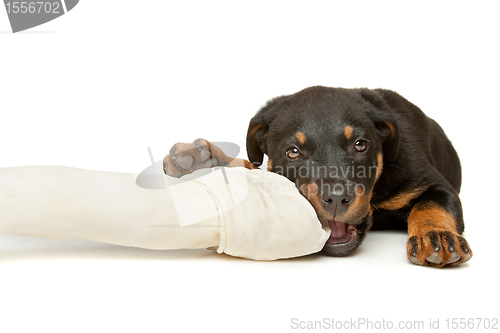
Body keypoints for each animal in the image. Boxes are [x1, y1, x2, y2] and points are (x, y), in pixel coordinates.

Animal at [164, 86, 472, 268]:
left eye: (360, 144)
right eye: (293, 152)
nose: (335, 199)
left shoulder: (432, 182)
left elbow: (431, 205)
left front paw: (436, 236)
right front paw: (203, 159)